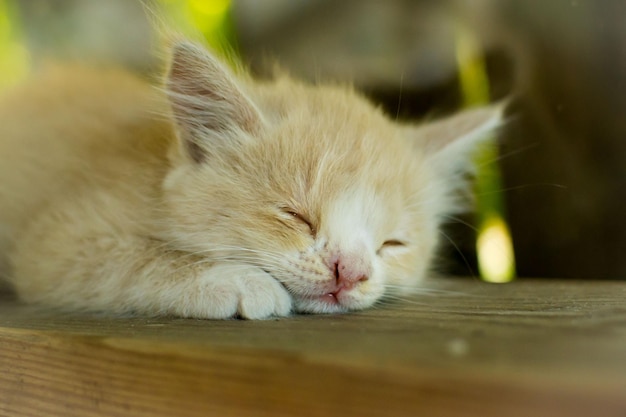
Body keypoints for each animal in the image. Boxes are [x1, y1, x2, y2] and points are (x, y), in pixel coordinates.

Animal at [0, 40, 500, 318]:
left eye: (392, 244)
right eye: (295, 216)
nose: (352, 271)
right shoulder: (55, 240)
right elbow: (131, 261)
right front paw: (239, 282)